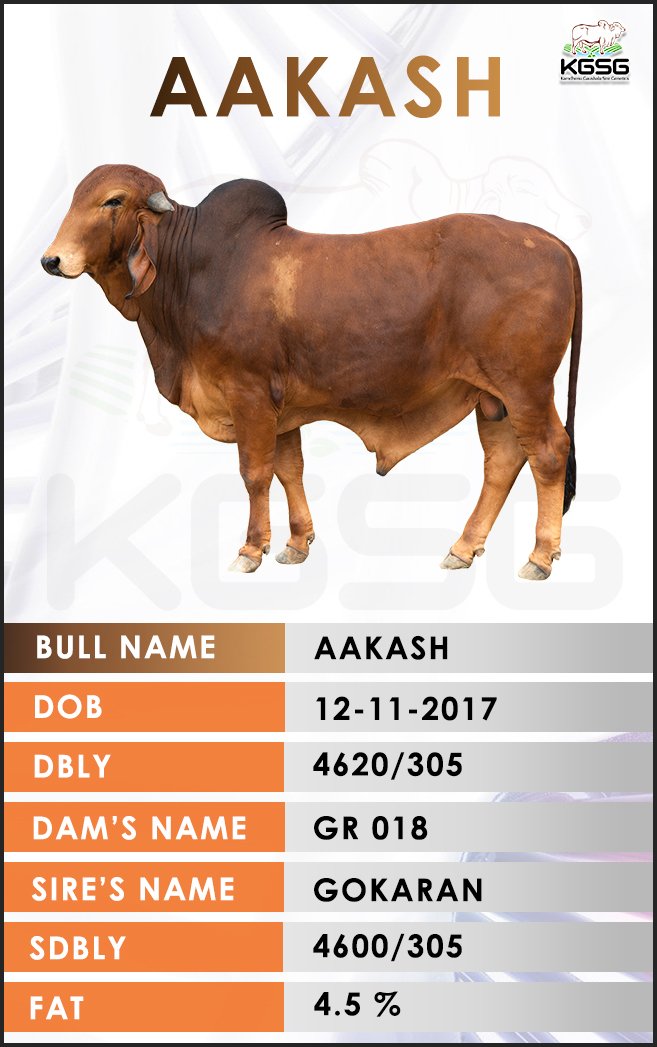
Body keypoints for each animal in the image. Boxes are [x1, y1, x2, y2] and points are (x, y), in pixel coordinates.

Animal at [42, 165, 583, 581]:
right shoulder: (281, 410)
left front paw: (250, 550)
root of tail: (551, 240)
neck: (190, 271)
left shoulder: (249, 394)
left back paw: (540, 557)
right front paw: (296, 544)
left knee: (549, 453)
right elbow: (289, 469)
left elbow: (255, 474)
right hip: (492, 397)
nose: (52, 260)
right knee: (504, 461)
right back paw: (463, 549)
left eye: (112, 201)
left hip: (526, 386)